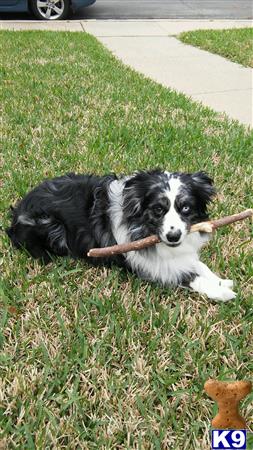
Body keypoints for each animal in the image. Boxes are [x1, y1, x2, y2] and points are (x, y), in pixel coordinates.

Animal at [6, 171, 235, 300]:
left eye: (185, 208)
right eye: (158, 209)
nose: (174, 236)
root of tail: (17, 213)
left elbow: (198, 265)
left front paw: (221, 281)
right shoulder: (151, 267)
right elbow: (188, 276)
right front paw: (221, 293)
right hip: (52, 227)